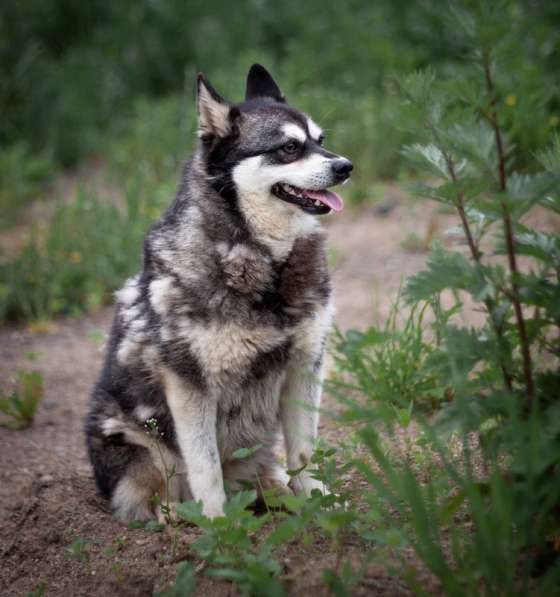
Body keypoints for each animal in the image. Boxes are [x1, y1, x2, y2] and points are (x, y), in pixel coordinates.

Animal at [85, 62, 352, 520]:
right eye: (288, 148)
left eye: (320, 141)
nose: (345, 167)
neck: (258, 257)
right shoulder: (190, 386)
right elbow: (205, 468)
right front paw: (218, 524)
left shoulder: (305, 367)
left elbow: (305, 454)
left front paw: (318, 499)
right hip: (145, 449)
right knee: (157, 498)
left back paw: (277, 492)